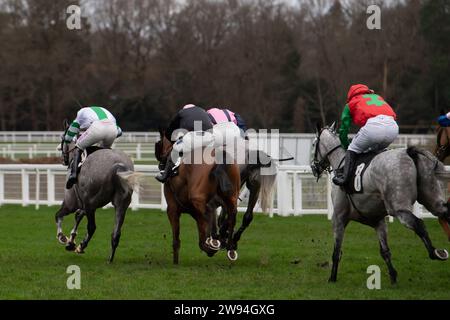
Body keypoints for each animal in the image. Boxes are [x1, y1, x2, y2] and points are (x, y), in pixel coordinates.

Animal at [55, 120, 141, 262]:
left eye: (62, 138)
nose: (63, 158)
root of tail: (118, 165)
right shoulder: (84, 204)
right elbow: (78, 215)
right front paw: (71, 241)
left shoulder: (72, 202)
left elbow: (59, 215)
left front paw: (64, 238)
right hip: (121, 204)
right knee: (116, 233)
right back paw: (109, 258)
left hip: (91, 204)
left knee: (92, 227)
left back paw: (81, 246)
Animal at [156, 129, 243, 264]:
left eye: (159, 143)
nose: (161, 164)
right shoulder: (195, 213)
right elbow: (201, 238)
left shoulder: (172, 209)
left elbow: (177, 240)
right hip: (232, 196)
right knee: (231, 216)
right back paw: (229, 248)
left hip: (197, 198)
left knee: (209, 212)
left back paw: (215, 241)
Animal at [312, 122, 448, 282]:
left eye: (314, 144)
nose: (313, 167)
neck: (341, 162)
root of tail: (409, 152)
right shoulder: (379, 221)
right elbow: (385, 251)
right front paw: (393, 277)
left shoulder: (338, 218)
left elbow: (336, 252)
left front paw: (332, 278)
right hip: (433, 199)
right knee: (444, 212)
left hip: (398, 208)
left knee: (418, 223)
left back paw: (434, 252)